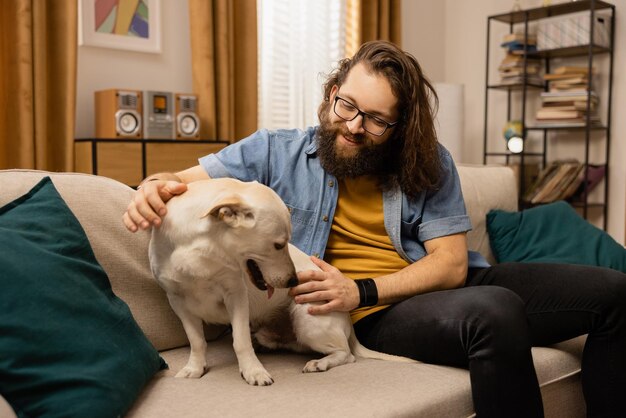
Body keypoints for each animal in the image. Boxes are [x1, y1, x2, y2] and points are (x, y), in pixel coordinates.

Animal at [148, 177, 412, 386]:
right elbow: (197, 341)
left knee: (347, 354)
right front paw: (194, 368)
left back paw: (319, 363)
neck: (202, 249)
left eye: (286, 242)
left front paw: (253, 372)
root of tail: (347, 319)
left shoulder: (236, 296)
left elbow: (240, 341)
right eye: (278, 244)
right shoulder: (177, 302)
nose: (294, 280)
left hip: (307, 320)